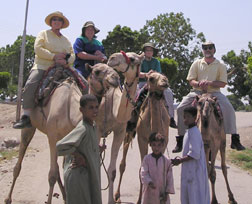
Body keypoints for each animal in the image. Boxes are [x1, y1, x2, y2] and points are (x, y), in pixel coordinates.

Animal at [4, 62, 120, 204]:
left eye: (112, 68)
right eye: (97, 71)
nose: (116, 78)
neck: (70, 110)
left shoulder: (71, 136)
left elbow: (65, 168)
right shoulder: (52, 137)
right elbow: (52, 175)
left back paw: (65, 196)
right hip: (30, 125)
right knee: (20, 161)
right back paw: (8, 198)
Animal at [115, 71, 170, 202]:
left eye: (164, 76)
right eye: (151, 78)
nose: (165, 82)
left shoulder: (164, 141)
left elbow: (163, 168)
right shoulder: (142, 139)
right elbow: (142, 169)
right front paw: (140, 200)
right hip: (129, 131)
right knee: (122, 162)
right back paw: (117, 196)